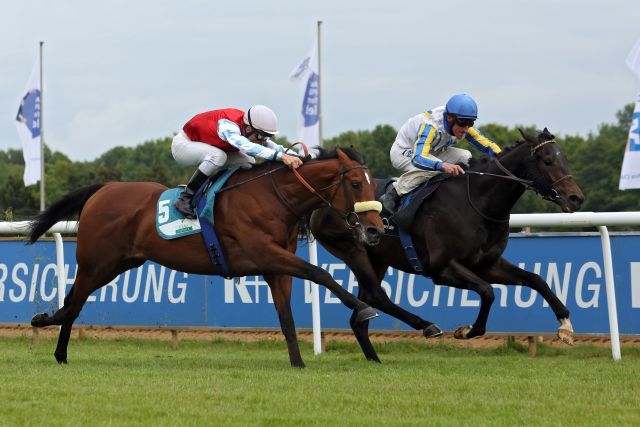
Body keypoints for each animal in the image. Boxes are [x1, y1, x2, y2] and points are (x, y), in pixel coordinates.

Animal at [28, 147, 384, 368]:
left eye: (371, 185)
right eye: (355, 183)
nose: (375, 229)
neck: (272, 198)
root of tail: (102, 189)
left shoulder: (274, 266)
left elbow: (287, 317)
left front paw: (298, 362)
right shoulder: (266, 253)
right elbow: (320, 273)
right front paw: (362, 307)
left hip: (118, 263)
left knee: (73, 301)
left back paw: (56, 343)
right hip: (97, 263)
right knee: (73, 304)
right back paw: (49, 330)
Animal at [310, 129, 584, 362]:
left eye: (564, 158)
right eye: (547, 161)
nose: (576, 198)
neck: (477, 203)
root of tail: (321, 204)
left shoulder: (488, 265)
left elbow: (536, 280)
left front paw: (566, 327)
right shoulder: (441, 269)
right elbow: (487, 291)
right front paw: (467, 331)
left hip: (377, 259)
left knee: (362, 312)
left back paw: (374, 359)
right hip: (352, 249)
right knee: (376, 296)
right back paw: (426, 327)